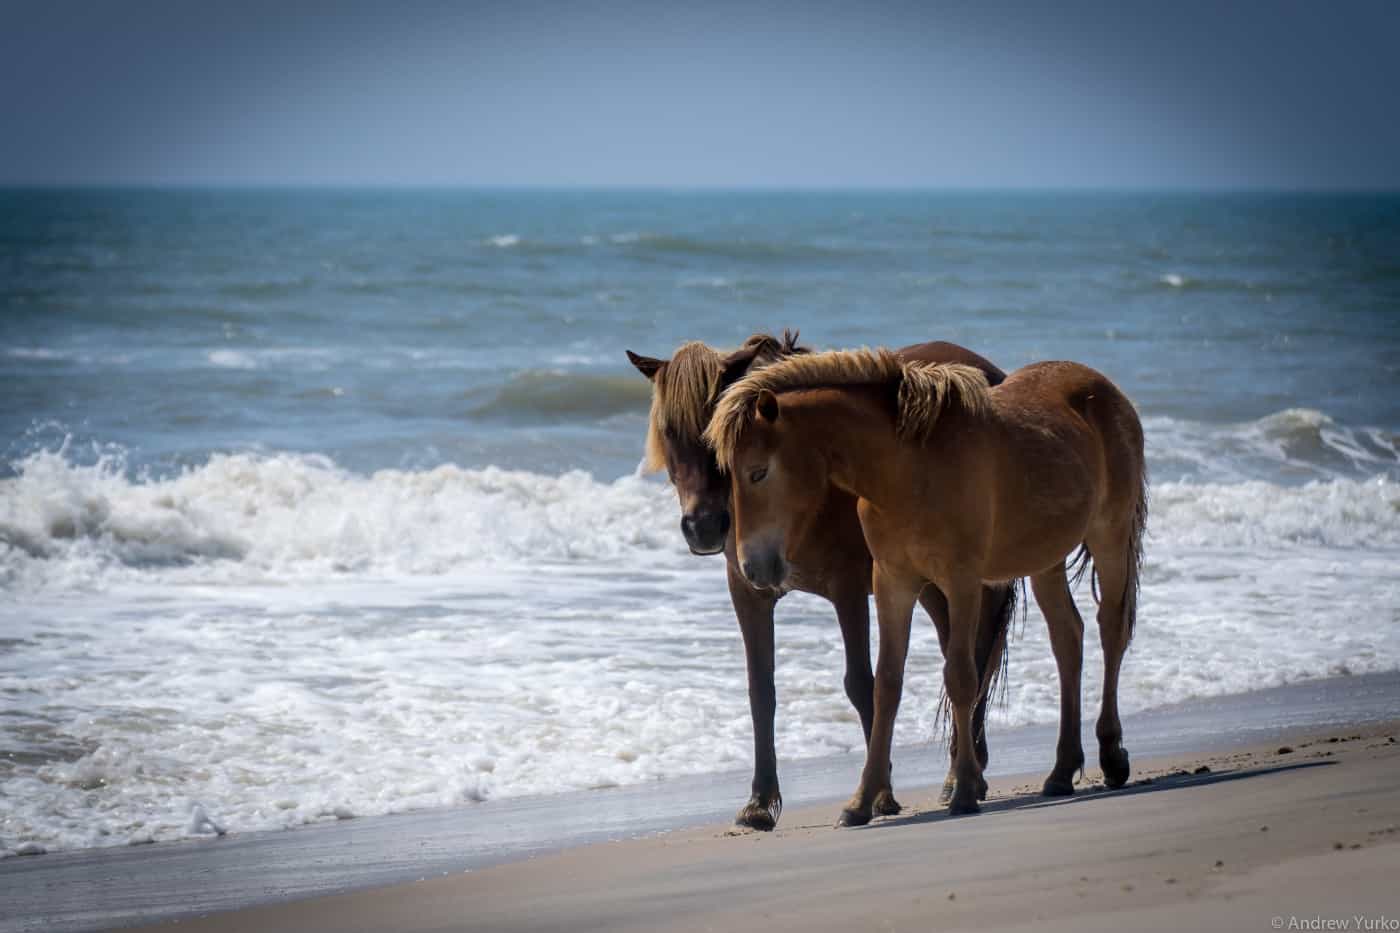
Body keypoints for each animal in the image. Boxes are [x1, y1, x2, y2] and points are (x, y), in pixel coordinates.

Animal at [627, 330, 1019, 823]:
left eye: (711, 430)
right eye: (667, 432)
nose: (704, 527)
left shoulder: (848, 589)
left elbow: (862, 684)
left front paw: (880, 793)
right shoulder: (749, 593)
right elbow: (761, 690)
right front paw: (760, 802)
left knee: (976, 656)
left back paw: (960, 777)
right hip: (930, 583)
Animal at [705, 348, 1142, 823]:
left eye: (758, 473)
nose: (752, 568)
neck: (908, 470)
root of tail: (1105, 388)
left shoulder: (962, 581)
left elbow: (961, 677)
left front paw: (964, 789)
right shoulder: (893, 582)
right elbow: (886, 684)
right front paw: (863, 801)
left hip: (1109, 535)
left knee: (1110, 629)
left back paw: (1112, 756)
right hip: (1046, 560)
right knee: (1068, 638)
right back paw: (1062, 771)